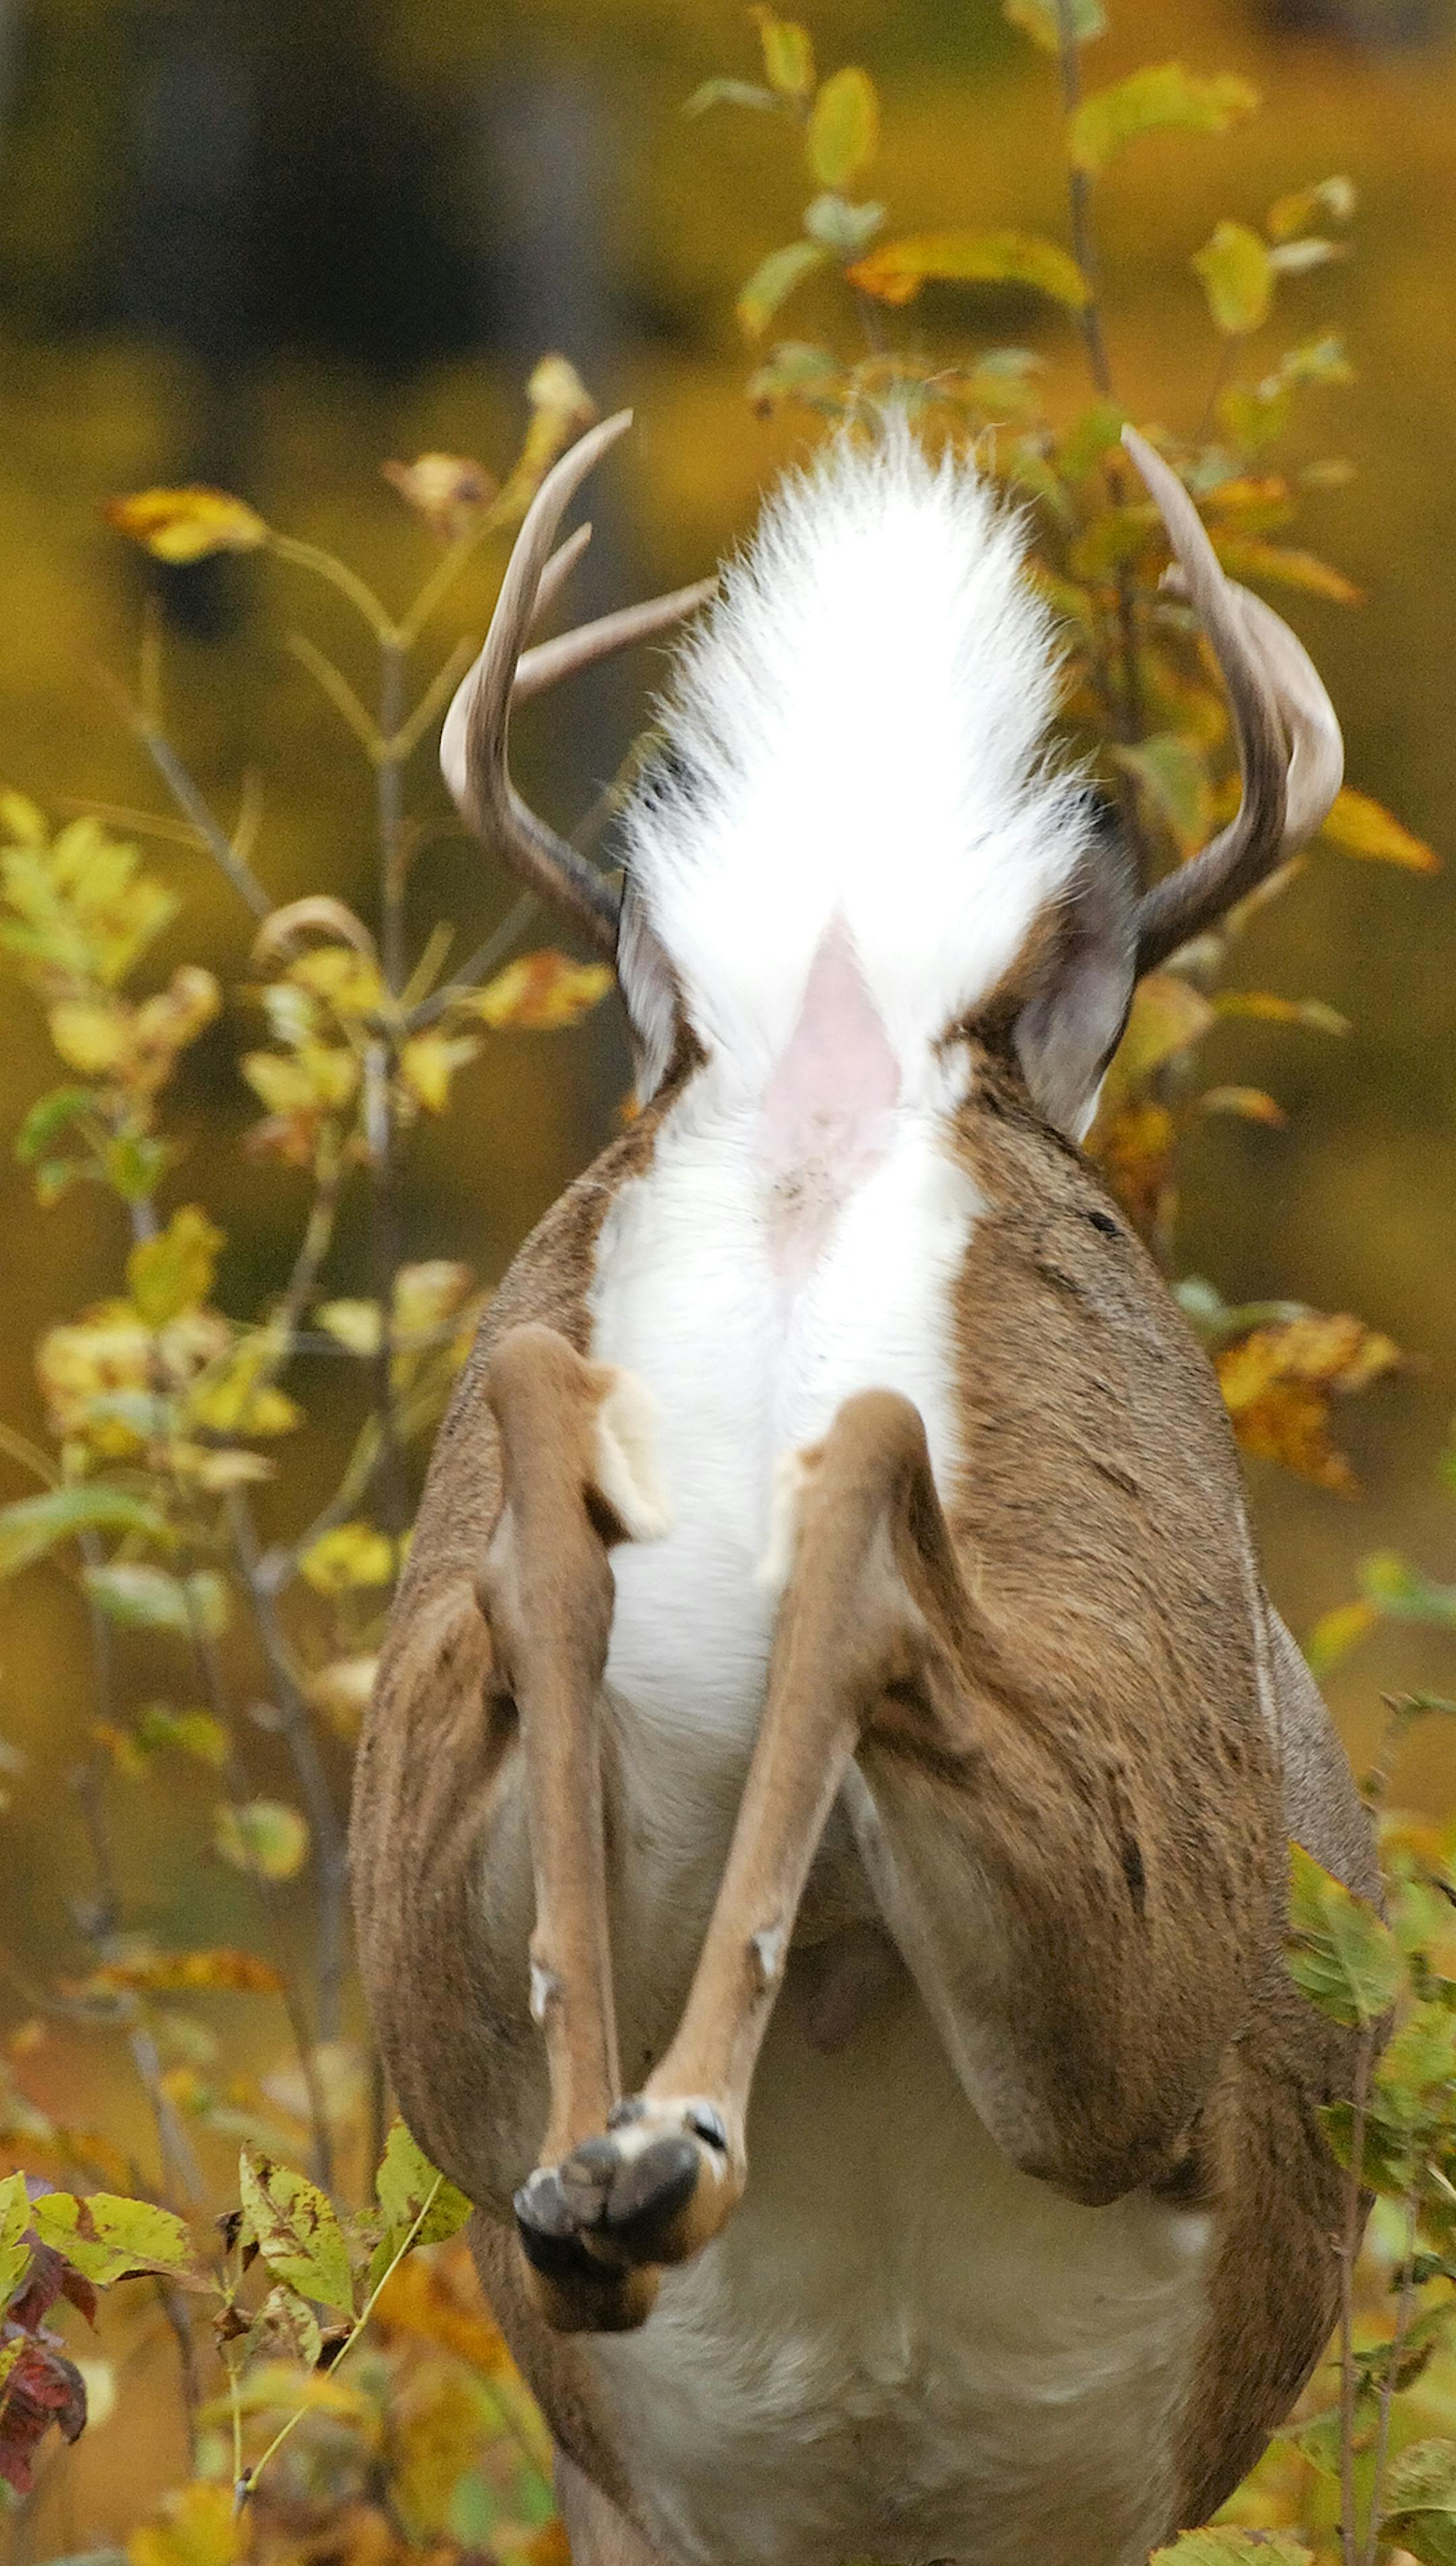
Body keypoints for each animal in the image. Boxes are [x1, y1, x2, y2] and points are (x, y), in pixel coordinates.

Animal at [350, 405, 1380, 2566]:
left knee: (557, 1444)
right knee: (874, 1505)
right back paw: (658, 2158)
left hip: (430, 1956)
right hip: (1131, 1980)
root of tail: (836, 1058)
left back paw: (613, 2171)